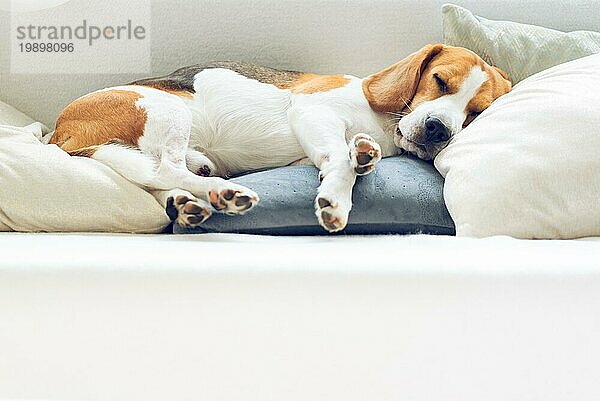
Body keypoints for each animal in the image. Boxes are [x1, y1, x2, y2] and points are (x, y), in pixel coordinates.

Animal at [51, 43, 510, 231]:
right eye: (440, 81)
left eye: (475, 113)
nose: (438, 130)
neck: (384, 122)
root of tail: (60, 133)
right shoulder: (311, 110)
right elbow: (339, 162)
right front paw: (336, 199)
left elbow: (347, 153)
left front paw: (365, 153)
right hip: (167, 110)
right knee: (165, 168)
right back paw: (225, 193)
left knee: (160, 180)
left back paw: (193, 205)